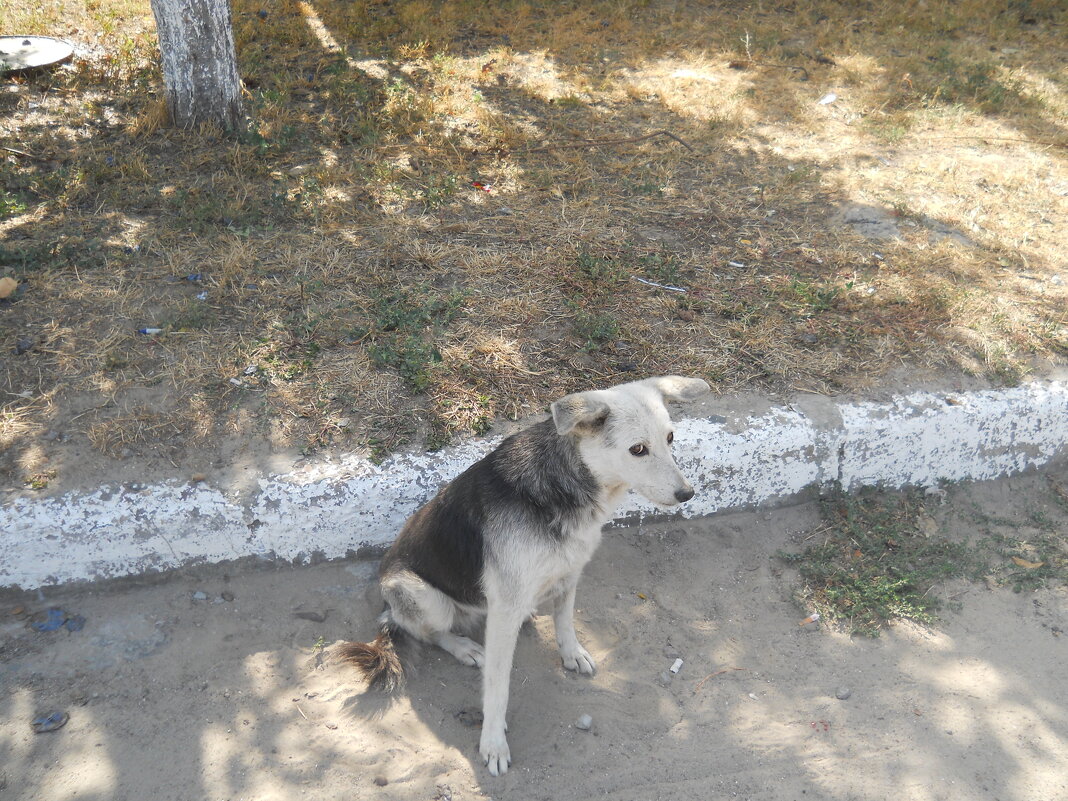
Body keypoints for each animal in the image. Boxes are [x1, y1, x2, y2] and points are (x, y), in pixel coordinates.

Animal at [341, 375, 709, 777]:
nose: (688, 494)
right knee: (427, 631)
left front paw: (571, 653)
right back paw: (464, 647)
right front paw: (493, 743)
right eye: (638, 449)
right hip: (421, 595)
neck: (563, 484)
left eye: (670, 438)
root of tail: (387, 606)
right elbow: (497, 687)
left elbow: (565, 621)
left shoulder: (570, 572)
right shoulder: (505, 612)